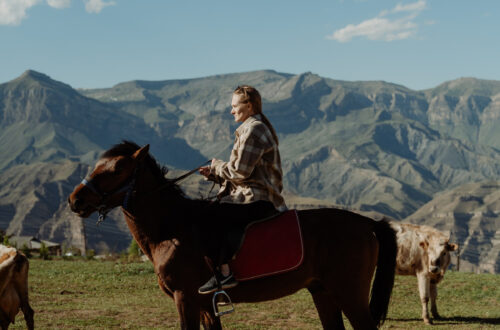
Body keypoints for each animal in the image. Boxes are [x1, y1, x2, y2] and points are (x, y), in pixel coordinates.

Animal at [68, 141, 396, 328]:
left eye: (118, 169)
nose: (75, 200)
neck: (171, 229)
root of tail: (366, 222)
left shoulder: (185, 299)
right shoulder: (204, 307)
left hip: (349, 294)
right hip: (323, 292)